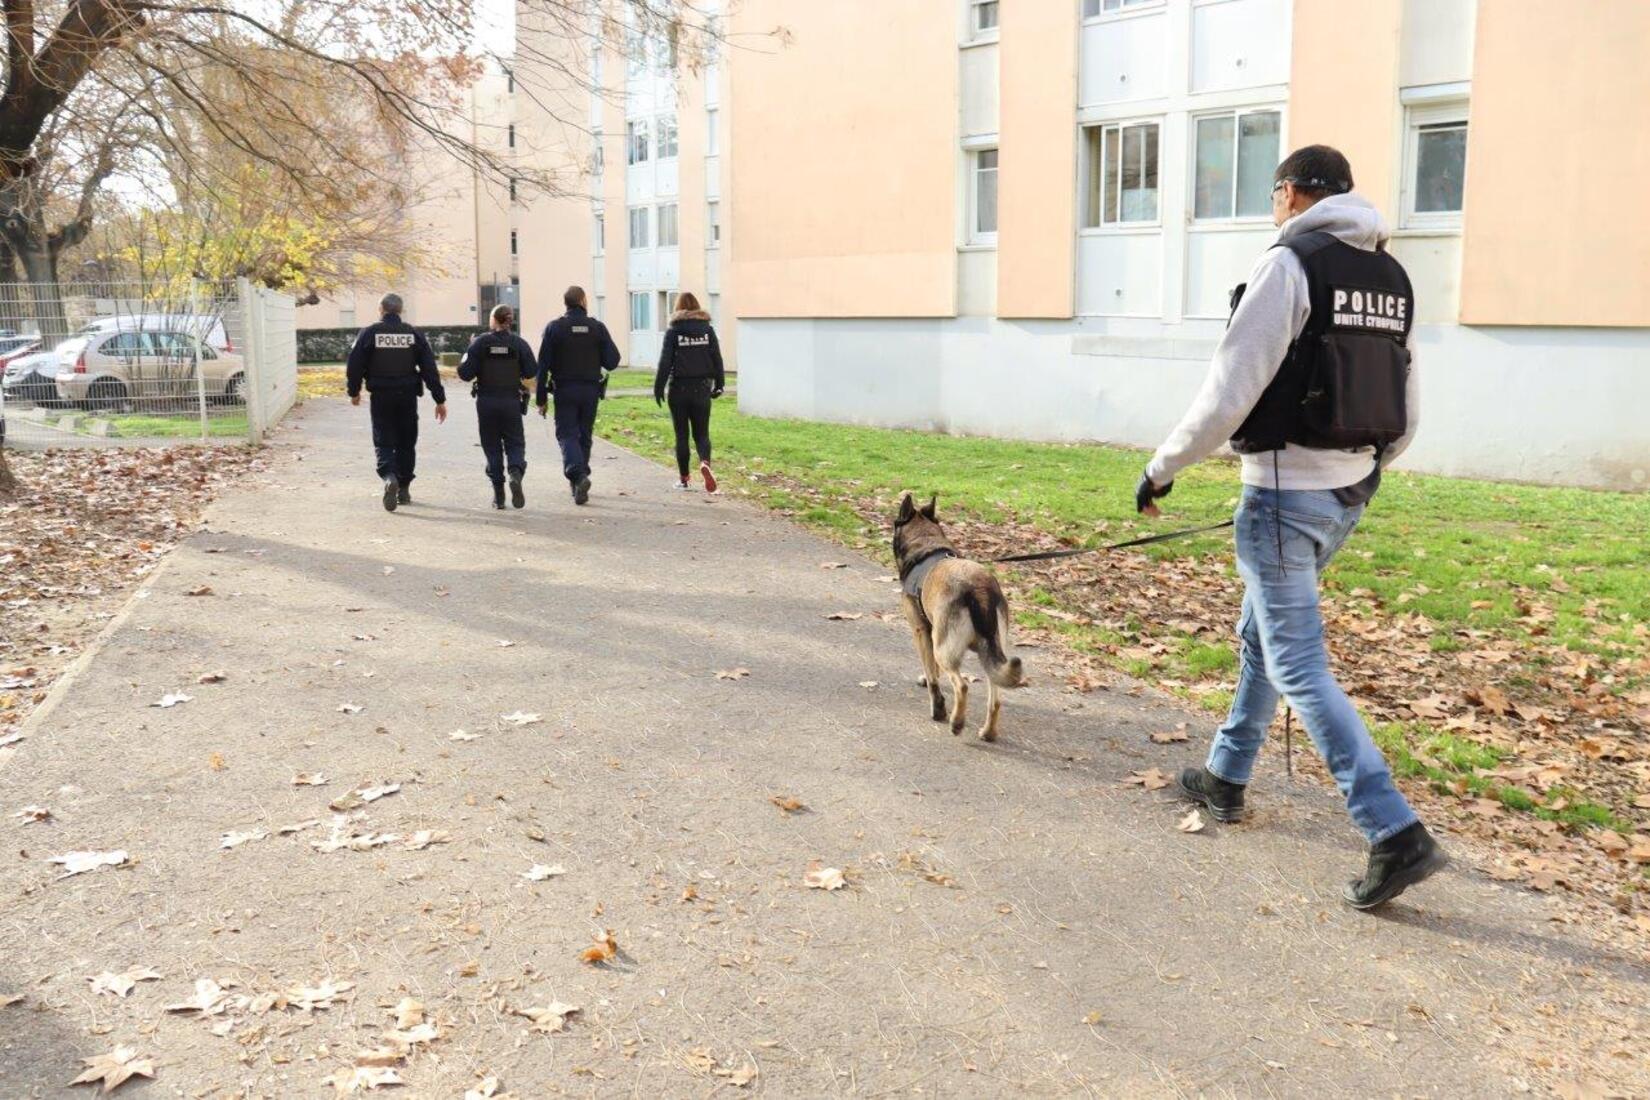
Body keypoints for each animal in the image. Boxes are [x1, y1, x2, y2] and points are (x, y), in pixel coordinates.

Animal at [897, 494, 1023, 745]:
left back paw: (956, 722)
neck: (926, 545)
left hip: (945, 650)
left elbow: (933, 677)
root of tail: (979, 589)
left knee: (962, 685)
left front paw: (938, 709)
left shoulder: (921, 632)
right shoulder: (932, 632)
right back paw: (988, 732)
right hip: (991, 652)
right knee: (995, 698)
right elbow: (932, 670)